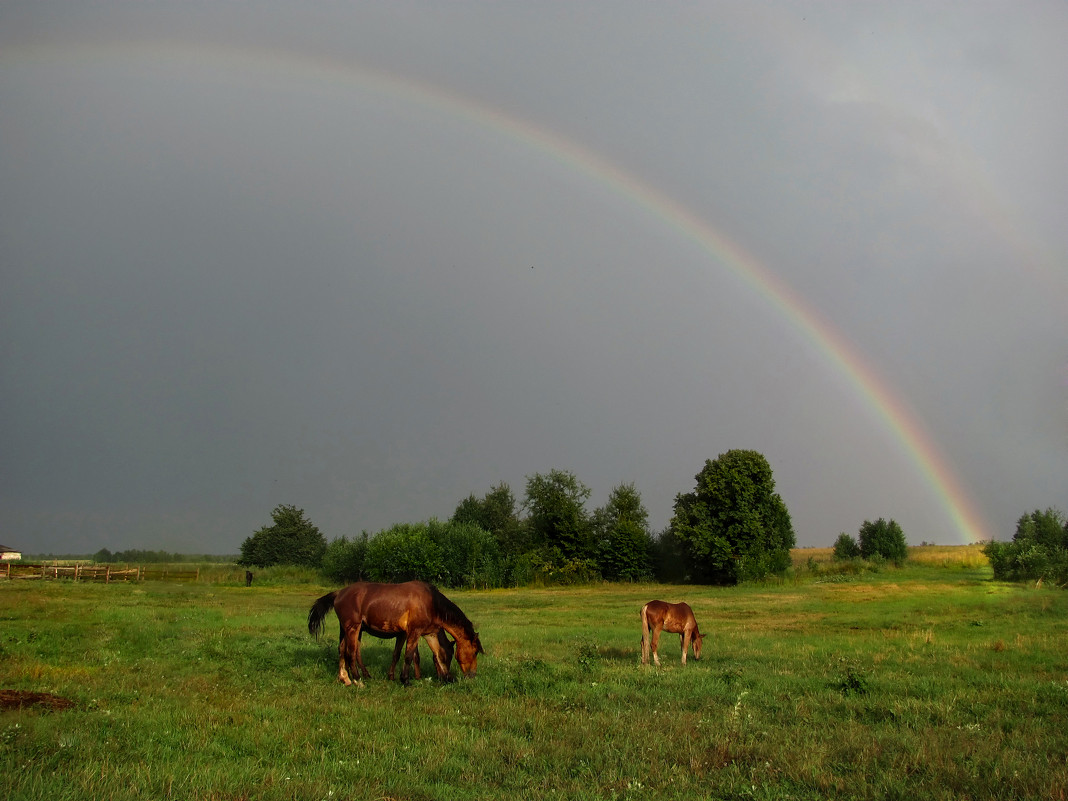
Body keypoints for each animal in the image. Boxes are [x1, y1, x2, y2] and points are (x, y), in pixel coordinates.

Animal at [305, 580, 480, 687]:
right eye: (474, 652)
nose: (472, 676)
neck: (431, 603)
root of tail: (339, 593)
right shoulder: (414, 632)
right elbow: (409, 656)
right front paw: (406, 680)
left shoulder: (426, 634)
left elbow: (430, 655)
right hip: (353, 628)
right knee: (351, 653)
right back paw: (358, 680)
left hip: (347, 630)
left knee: (342, 650)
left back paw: (345, 678)